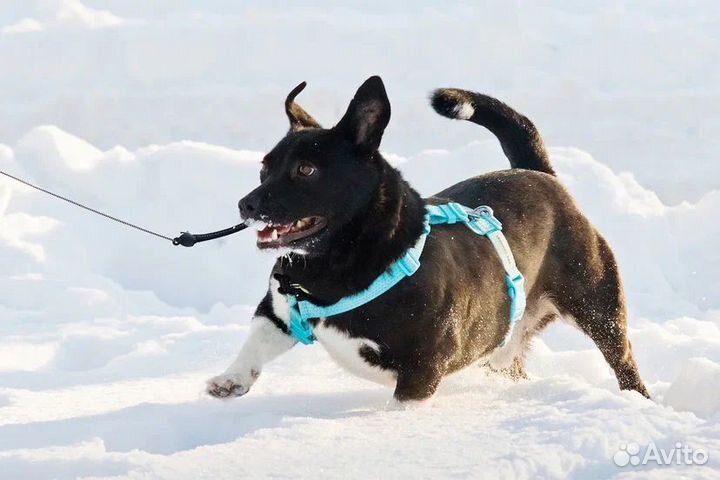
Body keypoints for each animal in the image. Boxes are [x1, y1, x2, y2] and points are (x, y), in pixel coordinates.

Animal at [205, 76, 648, 404]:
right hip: (506, 344)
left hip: (597, 303)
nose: (245, 205)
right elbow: (257, 340)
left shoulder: (421, 370)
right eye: (264, 167)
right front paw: (232, 379)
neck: (335, 265)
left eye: (306, 170)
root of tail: (538, 172)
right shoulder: (280, 307)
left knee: (623, 359)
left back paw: (636, 403)